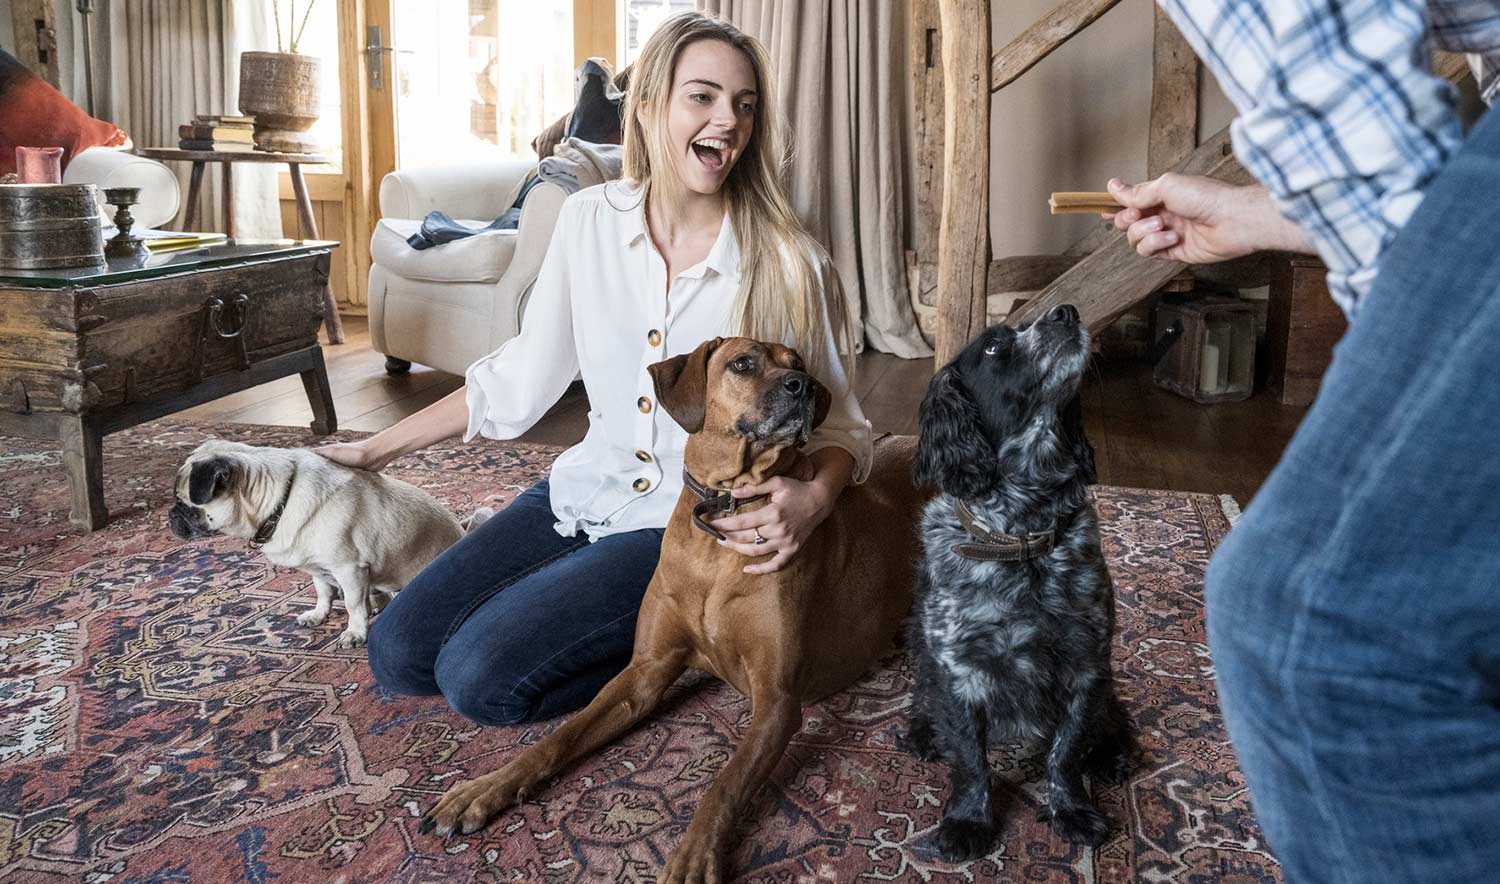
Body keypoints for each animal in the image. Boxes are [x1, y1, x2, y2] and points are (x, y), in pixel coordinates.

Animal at [417, 337, 918, 882]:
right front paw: (486, 787)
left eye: (800, 365)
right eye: (743, 363)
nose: (803, 386)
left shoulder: (778, 700)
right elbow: (561, 735)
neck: (723, 517)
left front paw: (693, 856)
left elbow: (726, 782)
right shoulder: (646, 672)